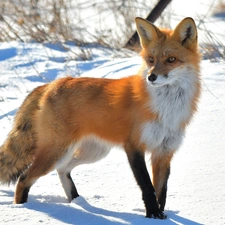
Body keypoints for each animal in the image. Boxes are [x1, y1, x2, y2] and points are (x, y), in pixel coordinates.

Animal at [0, 17, 200, 220]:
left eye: (171, 59)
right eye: (151, 59)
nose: (151, 77)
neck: (167, 109)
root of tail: (52, 83)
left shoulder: (164, 151)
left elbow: (162, 190)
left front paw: (161, 214)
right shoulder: (134, 146)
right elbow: (147, 187)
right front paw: (153, 214)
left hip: (93, 152)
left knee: (62, 169)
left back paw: (76, 201)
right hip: (57, 151)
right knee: (24, 178)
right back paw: (23, 208)